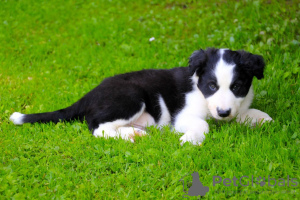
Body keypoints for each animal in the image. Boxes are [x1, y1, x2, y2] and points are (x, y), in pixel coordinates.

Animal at [9, 48, 272, 145]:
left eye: (237, 86)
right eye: (211, 86)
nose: (223, 113)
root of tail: (91, 93)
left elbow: (247, 112)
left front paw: (261, 118)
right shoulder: (183, 116)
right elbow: (202, 125)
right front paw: (190, 139)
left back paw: (133, 132)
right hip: (132, 97)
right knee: (97, 127)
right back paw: (130, 136)